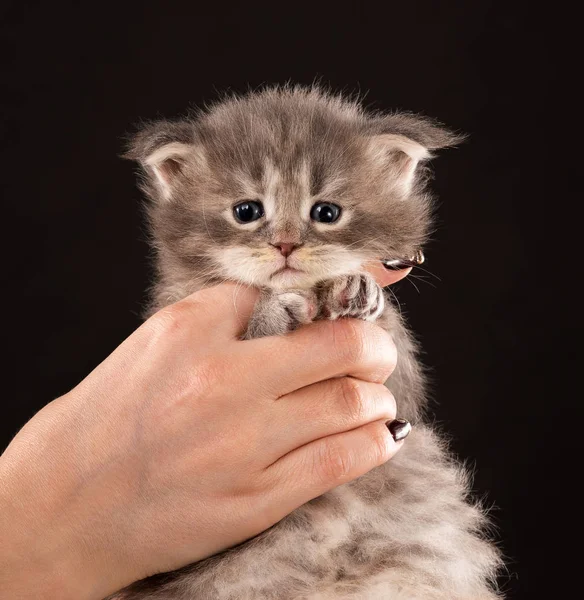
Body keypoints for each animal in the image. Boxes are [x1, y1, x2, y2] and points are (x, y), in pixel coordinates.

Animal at [112, 86, 500, 596]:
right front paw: (275, 310)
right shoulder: (173, 304)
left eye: (326, 213)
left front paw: (350, 287)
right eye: (247, 211)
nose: (285, 244)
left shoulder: (401, 389)